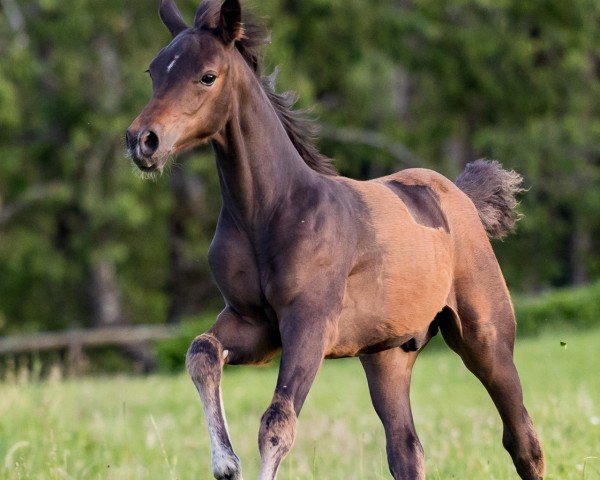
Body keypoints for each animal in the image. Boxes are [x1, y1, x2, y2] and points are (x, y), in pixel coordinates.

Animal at [125, 1, 544, 478]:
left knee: (522, 438)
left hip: (486, 338)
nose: (142, 140)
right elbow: (201, 352)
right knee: (405, 449)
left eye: (207, 76)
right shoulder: (254, 324)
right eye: (154, 70)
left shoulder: (309, 324)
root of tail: (462, 198)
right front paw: (226, 462)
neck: (270, 211)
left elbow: (277, 422)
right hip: (387, 357)